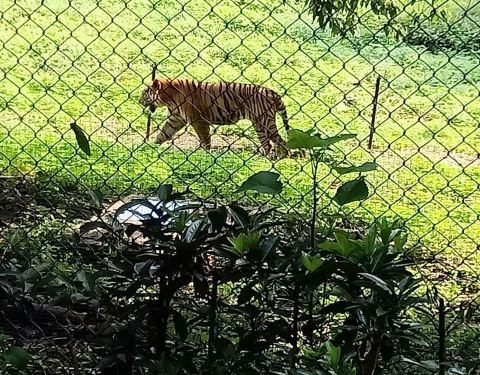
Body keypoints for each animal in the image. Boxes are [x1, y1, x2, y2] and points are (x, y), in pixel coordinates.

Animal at [137, 78, 290, 156]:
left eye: (144, 93)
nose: (139, 101)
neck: (168, 98)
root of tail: (272, 92)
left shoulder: (198, 121)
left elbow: (205, 140)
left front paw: (206, 155)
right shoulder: (175, 119)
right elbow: (162, 135)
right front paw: (149, 147)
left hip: (265, 122)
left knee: (280, 142)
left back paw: (281, 158)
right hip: (258, 125)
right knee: (268, 144)